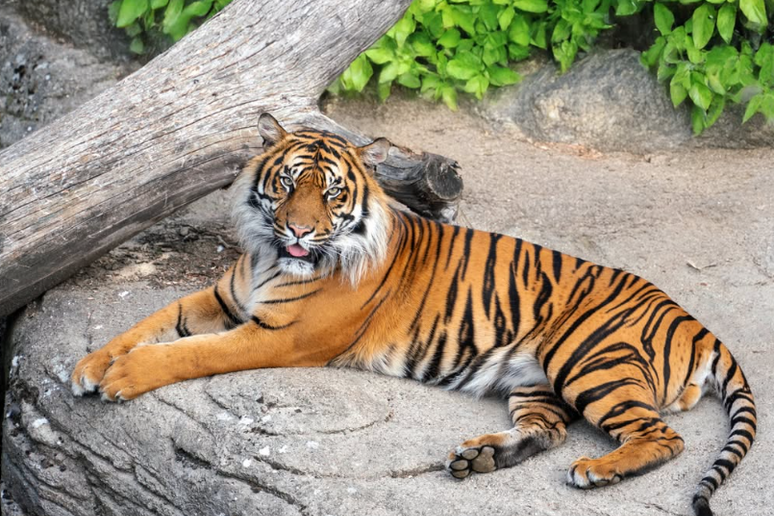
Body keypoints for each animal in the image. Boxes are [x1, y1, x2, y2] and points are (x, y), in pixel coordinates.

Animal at [71, 113, 756, 516]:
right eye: (287, 183)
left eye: (332, 193)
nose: (299, 230)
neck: (270, 254)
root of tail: (694, 322)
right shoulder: (220, 299)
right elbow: (149, 325)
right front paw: (88, 367)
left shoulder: (279, 335)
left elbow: (190, 351)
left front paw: (123, 377)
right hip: (538, 381)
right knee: (550, 430)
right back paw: (480, 458)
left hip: (585, 357)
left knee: (660, 437)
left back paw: (595, 471)